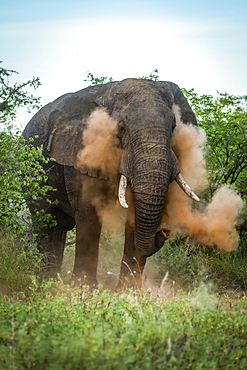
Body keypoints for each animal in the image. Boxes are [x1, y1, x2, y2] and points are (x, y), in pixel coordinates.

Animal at [22, 77, 200, 286]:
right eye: (121, 128)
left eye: (174, 127)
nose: (165, 232)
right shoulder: (81, 152)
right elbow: (88, 212)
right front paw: (83, 288)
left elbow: (135, 214)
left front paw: (129, 290)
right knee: (45, 221)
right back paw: (46, 283)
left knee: (60, 226)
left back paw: (53, 281)